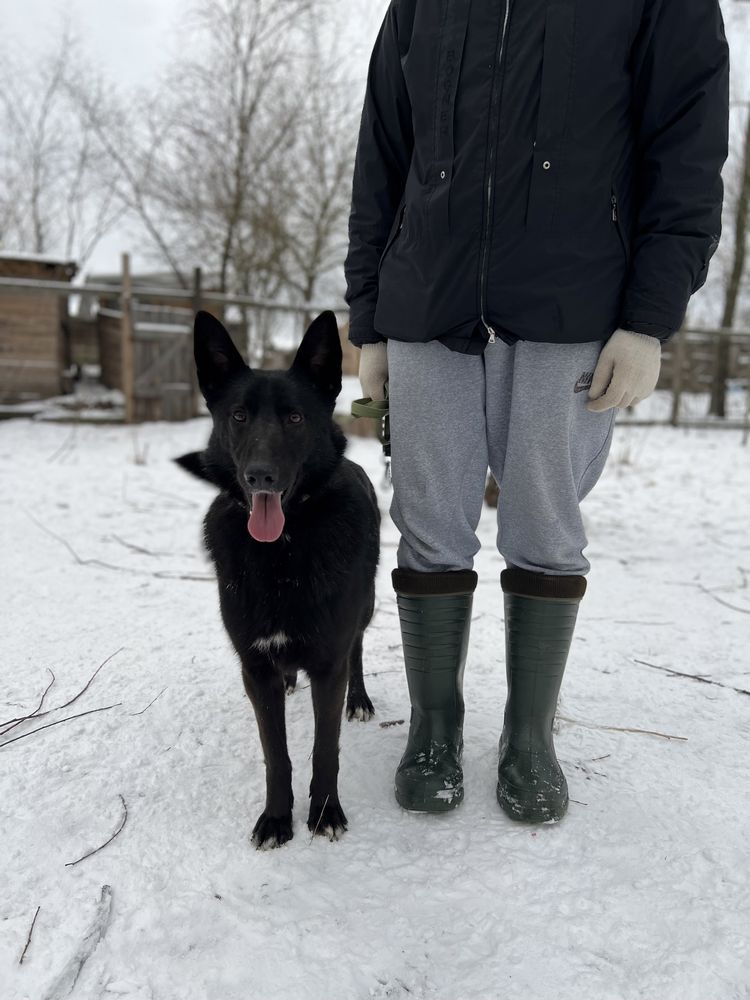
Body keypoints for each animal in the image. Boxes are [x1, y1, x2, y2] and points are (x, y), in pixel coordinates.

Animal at [178, 308, 382, 848]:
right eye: (238, 416)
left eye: (294, 418)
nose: (260, 476)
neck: (283, 552)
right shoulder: (254, 668)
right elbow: (277, 755)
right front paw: (276, 818)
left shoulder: (328, 664)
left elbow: (324, 749)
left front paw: (326, 813)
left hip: (365, 607)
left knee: (357, 648)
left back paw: (360, 700)